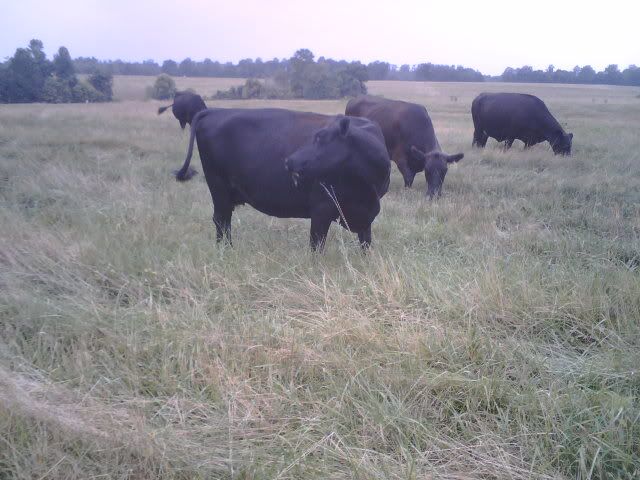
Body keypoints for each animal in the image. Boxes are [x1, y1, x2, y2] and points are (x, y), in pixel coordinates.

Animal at [172, 108, 391, 251]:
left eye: (320, 139)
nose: (289, 161)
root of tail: (214, 111)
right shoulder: (321, 208)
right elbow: (316, 245)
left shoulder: (368, 214)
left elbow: (366, 243)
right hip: (218, 187)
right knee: (221, 220)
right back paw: (225, 250)